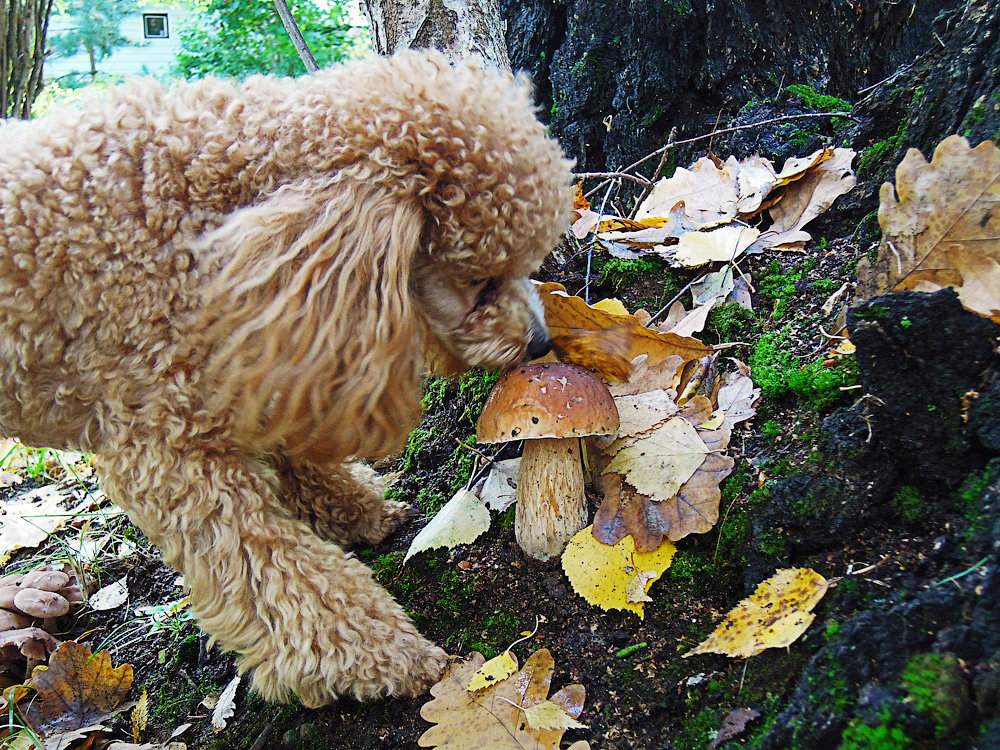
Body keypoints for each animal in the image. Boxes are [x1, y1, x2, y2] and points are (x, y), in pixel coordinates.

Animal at [0, 51, 572, 704]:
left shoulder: (263, 356)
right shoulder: (167, 446)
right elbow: (268, 569)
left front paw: (359, 511)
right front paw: (382, 655)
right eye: (480, 280)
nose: (541, 343)